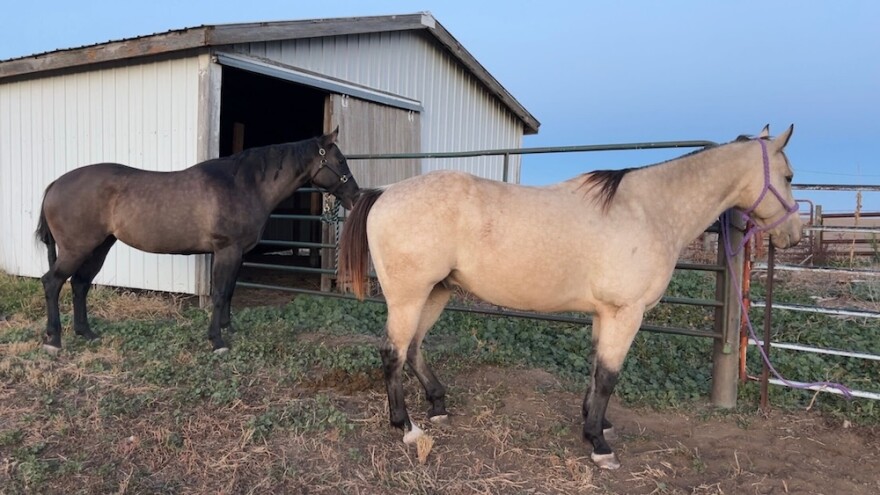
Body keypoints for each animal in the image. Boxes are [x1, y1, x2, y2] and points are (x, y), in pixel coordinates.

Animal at [36, 128, 359, 354]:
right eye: (341, 160)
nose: (355, 196)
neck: (243, 185)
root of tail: (55, 184)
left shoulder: (235, 253)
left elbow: (229, 292)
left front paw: (228, 329)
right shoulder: (227, 250)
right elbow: (219, 293)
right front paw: (217, 341)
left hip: (99, 247)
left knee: (79, 285)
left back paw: (86, 333)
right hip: (77, 248)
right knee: (52, 282)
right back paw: (54, 340)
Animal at [337, 125, 802, 470]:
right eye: (790, 176)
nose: (794, 236)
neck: (646, 210)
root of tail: (383, 192)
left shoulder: (604, 314)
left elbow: (596, 370)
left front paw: (596, 421)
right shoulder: (625, 313)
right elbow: (610, 375)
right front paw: (599, 445)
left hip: (435, 293)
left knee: (414, 348)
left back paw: (438, 405)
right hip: (409, 297)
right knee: (393, 352)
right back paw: (407, 427)